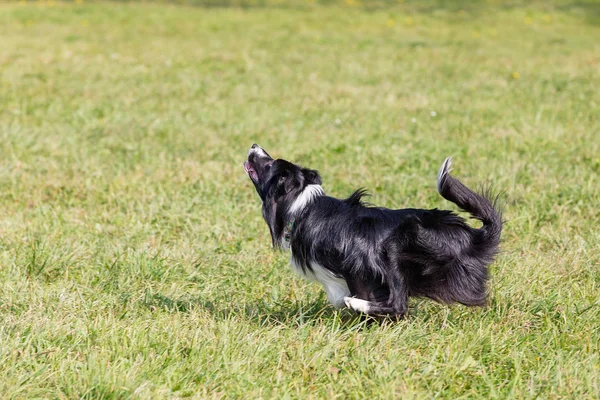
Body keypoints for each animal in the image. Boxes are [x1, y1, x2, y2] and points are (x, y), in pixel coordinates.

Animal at [244, 145, 502, 318]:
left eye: (269, 164)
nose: (254, 146)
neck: (300, 205)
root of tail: (474, 237)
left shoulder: (357, 263)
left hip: (399, 243)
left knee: (398, 302)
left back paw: (358, 305)